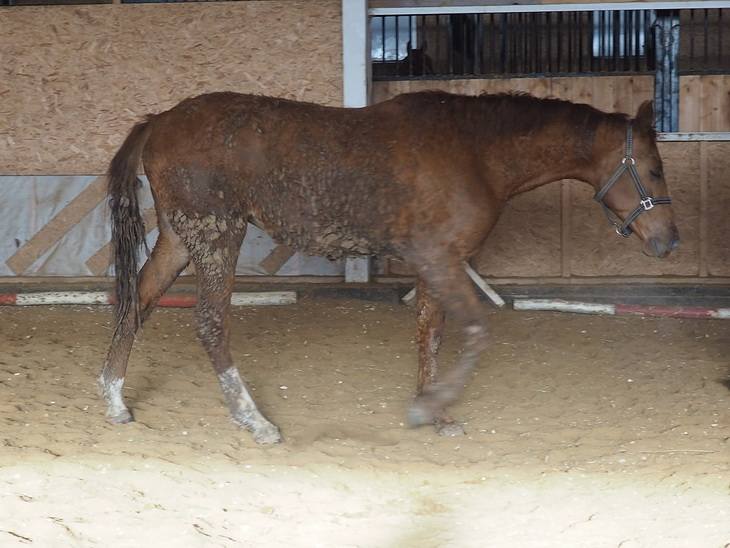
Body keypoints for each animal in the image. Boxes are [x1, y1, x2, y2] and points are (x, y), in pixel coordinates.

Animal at [96, 91, 676, 446]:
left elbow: (431, 334)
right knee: (210, 324)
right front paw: (430, 407)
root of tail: (159, 122)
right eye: (652, 169)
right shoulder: (441, 260)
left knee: (137, 302)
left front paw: (435, 411)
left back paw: (115, 400)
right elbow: (475, 330)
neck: (475, 151)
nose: (669, 240)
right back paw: (254, 421)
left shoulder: (438, 263)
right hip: (219, 235)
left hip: (180, 239)